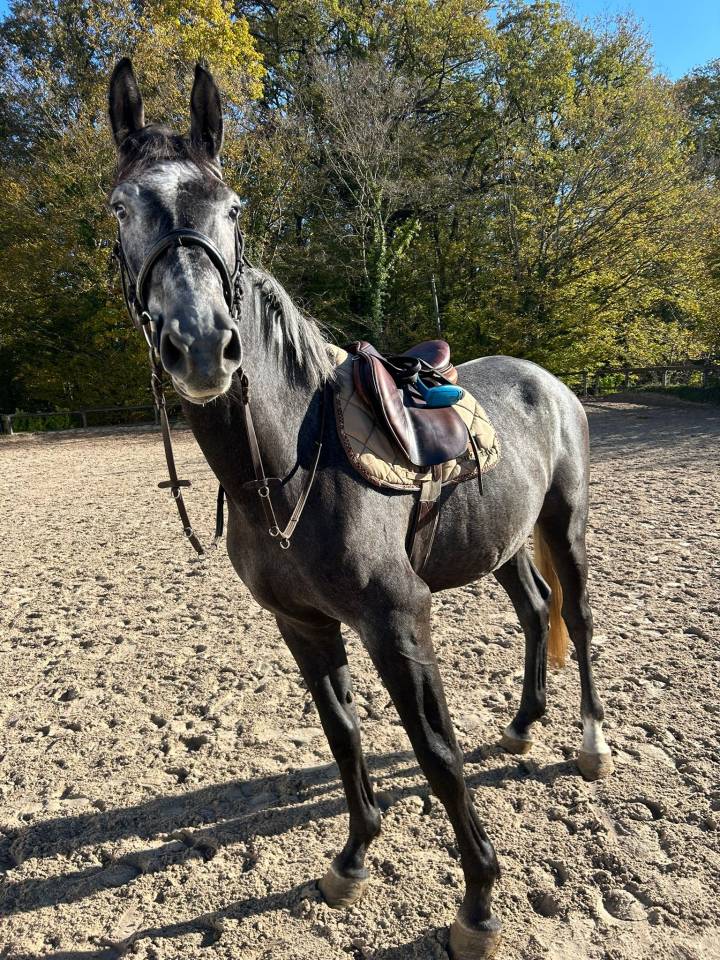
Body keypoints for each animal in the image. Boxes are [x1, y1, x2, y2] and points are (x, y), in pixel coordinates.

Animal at [107, 58, 613, 959]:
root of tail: (547, 380)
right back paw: (523, 725)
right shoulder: (303, 626)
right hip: (503, 542)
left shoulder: (397, 620)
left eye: (232, 207)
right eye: (121, 206)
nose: (201, 347)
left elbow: (437, 754)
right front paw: (351, 859)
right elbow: (344, 738)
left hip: (565, 523)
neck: (291, 465)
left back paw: (588, 747)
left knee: (578, 619)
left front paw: (479, 904)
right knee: (534, 610)